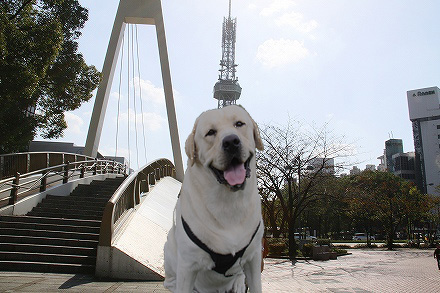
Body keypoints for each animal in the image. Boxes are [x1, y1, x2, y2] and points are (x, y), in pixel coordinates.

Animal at [163, 105, 262, 292]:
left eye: (239, 124)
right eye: (210, 132)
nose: (231, 141)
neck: (229, 202)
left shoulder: (254, 257)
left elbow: (256, 285)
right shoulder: (187, 265)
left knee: (239, 275)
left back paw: (238, 284)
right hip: (170, 251)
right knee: (170, 282)